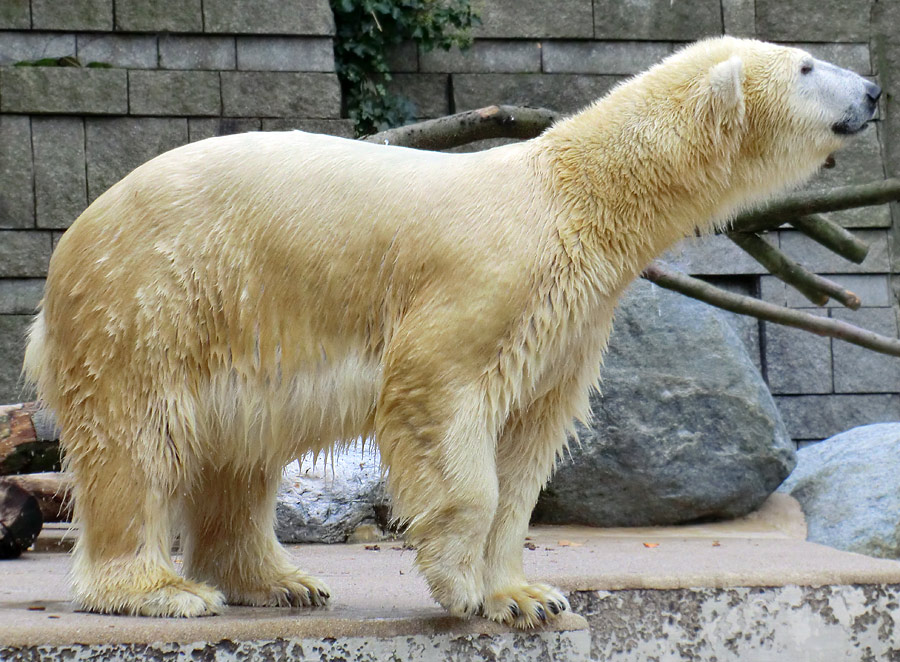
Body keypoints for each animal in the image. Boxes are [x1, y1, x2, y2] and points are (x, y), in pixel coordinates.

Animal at [22, 36, 880, 628]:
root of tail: (75, 236)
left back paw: (281, 580)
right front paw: (459, 586)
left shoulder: (568, 322)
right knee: (137, 440)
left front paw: (525, 596)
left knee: (239, 455)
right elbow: (441, 397)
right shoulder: (490, 277)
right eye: (807, 66)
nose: (874, 89)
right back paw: (161, 589)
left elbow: (528, 446)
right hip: (153, 299)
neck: (574, 193)